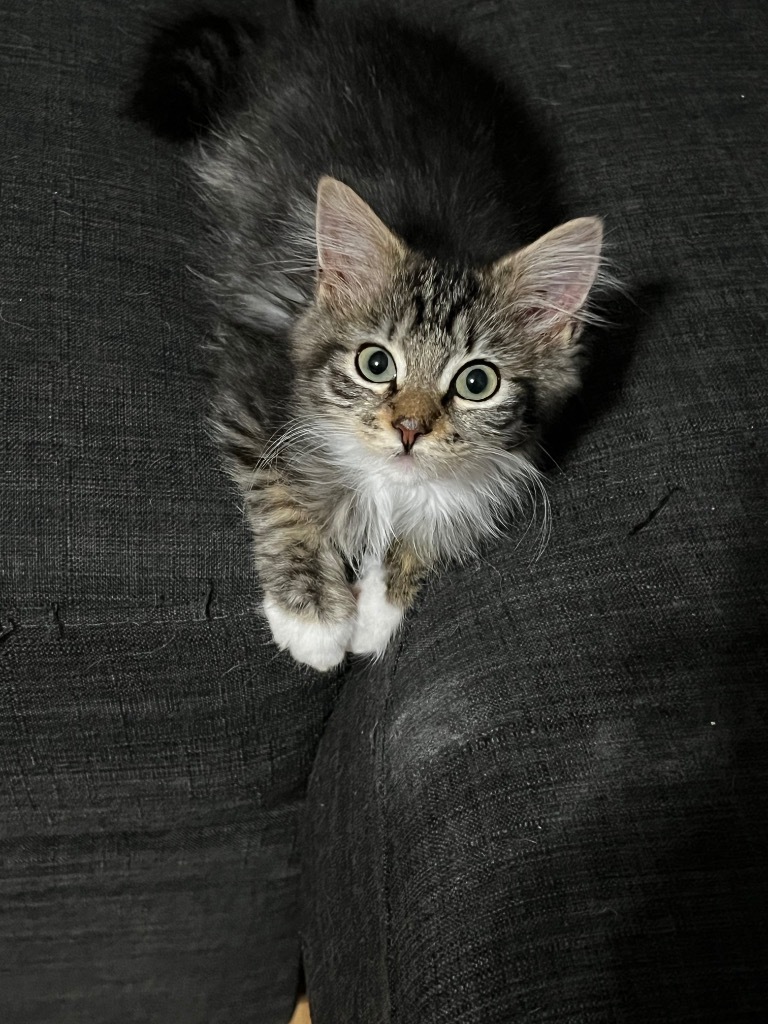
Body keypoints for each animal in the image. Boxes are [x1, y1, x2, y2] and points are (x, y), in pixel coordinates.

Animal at [132, 6, 606, 671]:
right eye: (375, 364)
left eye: (477, 381)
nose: (408, 429)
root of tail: (307, 30)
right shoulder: (255, 379)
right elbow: (284, 494)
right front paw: (315, 618)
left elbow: (426, 535)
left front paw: (376, 616)